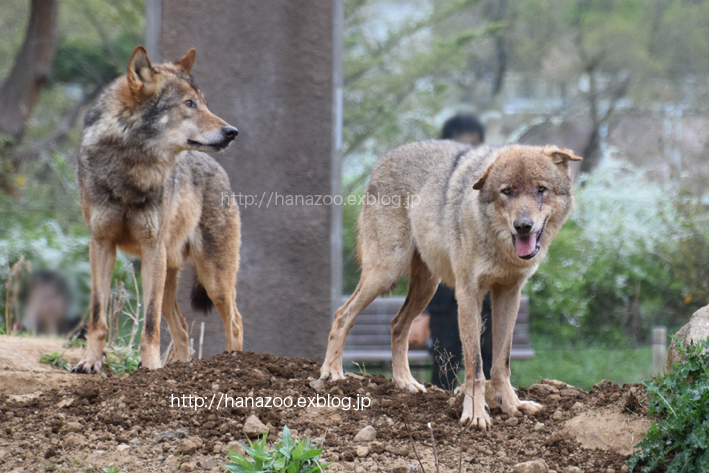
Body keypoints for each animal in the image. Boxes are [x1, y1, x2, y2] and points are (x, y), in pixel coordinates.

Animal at [72, 45, 243, 372]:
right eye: (189, 103)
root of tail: (219, 169)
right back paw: (180, 367)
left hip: (212, 278)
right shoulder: (101, 244)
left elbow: (149, 324)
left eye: (204, 103)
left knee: (235, 322)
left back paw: (235, 364)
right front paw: (90, 362)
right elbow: (98, 315)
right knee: (183, 329)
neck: (132, 169)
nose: (232, 132)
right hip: (166, 275)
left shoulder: (152, 249)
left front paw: (150, 368)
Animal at [320, 139, 580, 428]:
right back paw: (332, 373)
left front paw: (512, 405)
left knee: (397, 324)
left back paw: (405, 383)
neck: (498, 245)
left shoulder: (509, 294)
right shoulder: (468, 295)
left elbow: (502, 362)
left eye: (541, 189)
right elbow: (475, 366)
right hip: (386, 272)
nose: (523, 226)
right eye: (507, 192)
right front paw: (476, 415)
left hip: (426, 288)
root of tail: (385, 158)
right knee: (343, 314)